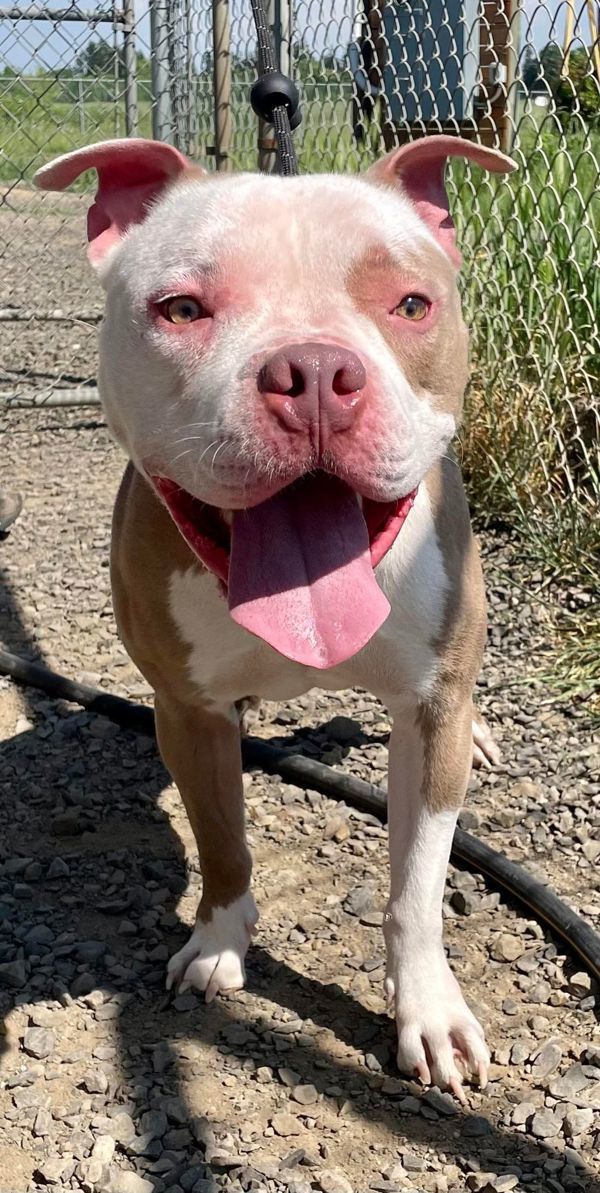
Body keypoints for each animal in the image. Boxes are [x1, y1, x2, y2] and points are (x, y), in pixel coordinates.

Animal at [36, 137, 517, 1097]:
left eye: (411, 304)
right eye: (183, 308)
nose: (316, 375)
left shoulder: (429, 711)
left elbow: (417, 884)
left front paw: (428, 1011)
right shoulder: (187, 711)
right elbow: (222, 840)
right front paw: (218, 945)